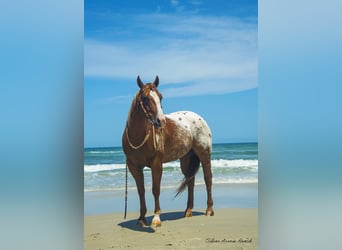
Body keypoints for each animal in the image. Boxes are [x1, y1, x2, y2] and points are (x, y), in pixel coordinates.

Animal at [123, 75, 214, 228]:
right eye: (145, 98)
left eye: (161, 97)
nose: (161, 122)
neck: (138, 137)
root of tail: (199, 118)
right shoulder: (133, 167)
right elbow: (141, 191)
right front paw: (141, 218)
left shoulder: (156, 164)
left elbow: (155, 189)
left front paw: (156, 218)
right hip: (186, 159)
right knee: (190, 181)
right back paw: (188, 211)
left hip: (204, 154)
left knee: (208, 178)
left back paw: (209, 210)